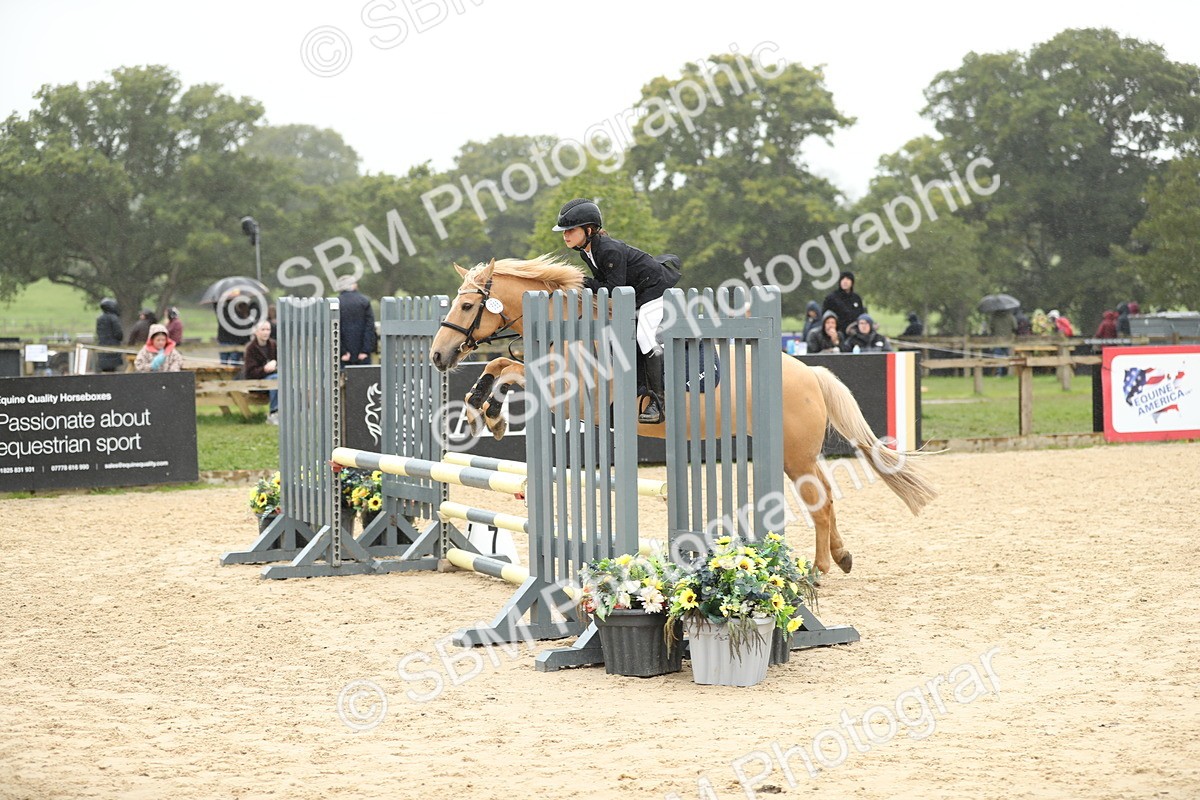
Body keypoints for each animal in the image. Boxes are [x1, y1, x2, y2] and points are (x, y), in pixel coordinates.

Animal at [428, 255, 937, 575]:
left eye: (468, 305)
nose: (438, 355)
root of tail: (808, 371)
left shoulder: (569, 396)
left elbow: (510, 371)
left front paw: (491, 414)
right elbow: (498, 365)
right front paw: (480, 409)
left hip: (793, 455)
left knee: (821, 501)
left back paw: (820, 566)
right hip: (796, 454)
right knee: (825, 498)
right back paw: (840, 556)